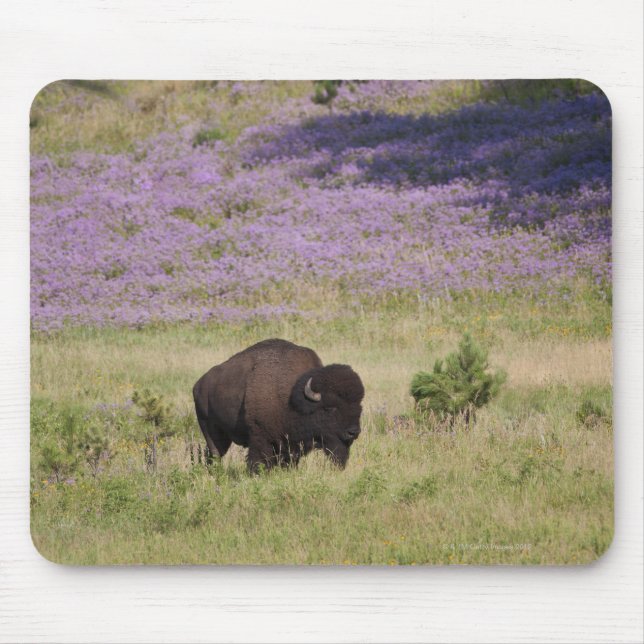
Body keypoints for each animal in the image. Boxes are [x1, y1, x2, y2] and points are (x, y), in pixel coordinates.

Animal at [193, 339, 365, 473]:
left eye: (359, 407)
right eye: (329, 408)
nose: (353, 432)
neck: (294, 397)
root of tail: (199, 384)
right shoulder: (261, 438)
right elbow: (257, 462)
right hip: (210, 430)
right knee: (215, 454)